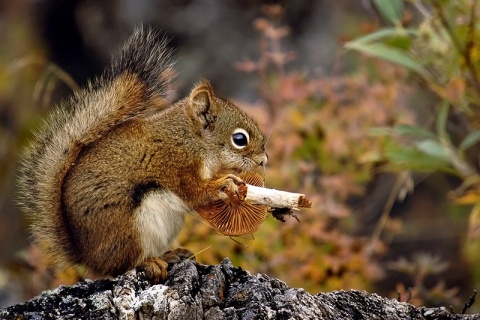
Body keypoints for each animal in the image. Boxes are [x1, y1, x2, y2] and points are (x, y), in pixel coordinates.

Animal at [17, 26, 266, 282]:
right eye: (239, 139)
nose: (263, 160)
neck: (191, 139)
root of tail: (88, 258)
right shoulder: (177, 164)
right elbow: (194, 190)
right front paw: (225, 183)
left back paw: (170, 255)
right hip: (131, 229)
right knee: (124, 266)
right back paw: (150, 264)